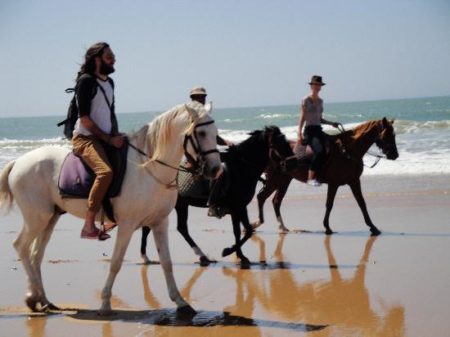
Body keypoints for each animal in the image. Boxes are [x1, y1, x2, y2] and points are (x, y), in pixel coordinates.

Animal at [0, 101, 221, 314]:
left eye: (216, 133)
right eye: (201, 133)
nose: (216, 169)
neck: (148, 169)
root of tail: (18, 162)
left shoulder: (160, 223)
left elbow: (167, 262)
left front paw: (181, 303)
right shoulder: (127, 225)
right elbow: (116, 262)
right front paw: (105, 304)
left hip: (49, 218)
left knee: (36, 255)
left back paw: (43, 300)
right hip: (37, 218)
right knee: (21, 247)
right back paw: (33, 298)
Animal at [142, 124, 294, 266]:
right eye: (280, 143)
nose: (292, 163)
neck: (241, 168)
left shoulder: (239, 207)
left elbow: (243, 231)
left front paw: (239, 255)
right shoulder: (237, 207)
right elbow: (243, 231)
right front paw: (229, 252)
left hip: (179, 205)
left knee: (177, 228)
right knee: (164, 228)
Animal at [253, 117, 398, 235]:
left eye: (394, 134)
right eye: (387, 134)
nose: (395, 155)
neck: (348, 151)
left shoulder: (354, 181)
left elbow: (362, 203)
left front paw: (373, 227)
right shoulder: (334, 184)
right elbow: (329, 204)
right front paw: (327, 227)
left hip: (284, 180)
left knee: (276, 201)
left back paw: (282, 227)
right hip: (275, 180)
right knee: (262, 197)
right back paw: (257, 223)